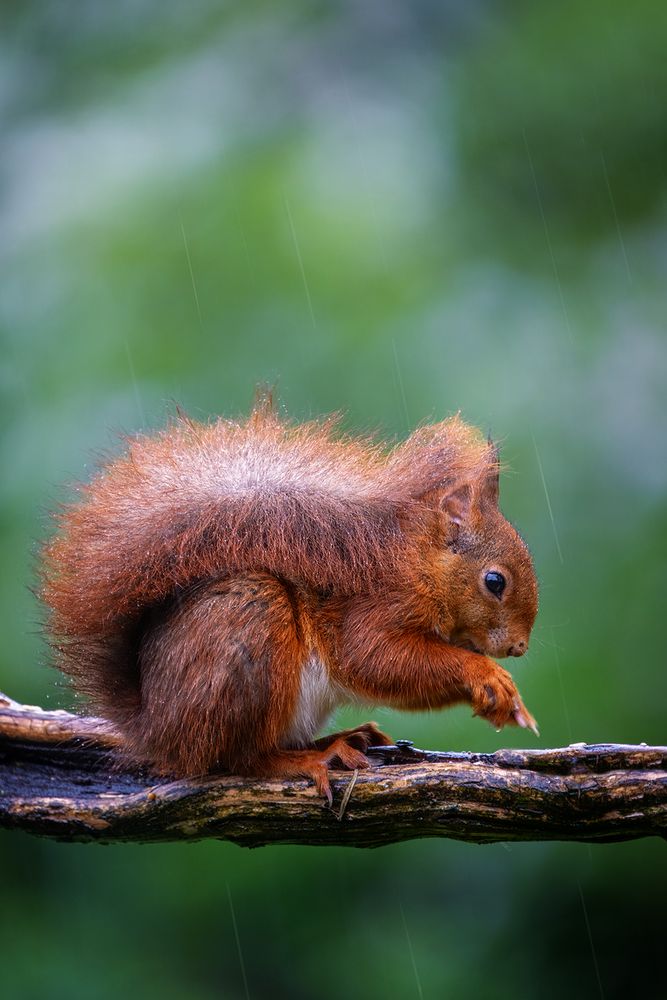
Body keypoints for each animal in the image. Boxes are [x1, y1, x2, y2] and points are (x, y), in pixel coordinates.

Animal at [41, 394, 540, 800]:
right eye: (495, 582)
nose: (519, 648)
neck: (421, 566)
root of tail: (154, 727)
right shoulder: (376, 605)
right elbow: (375, 659)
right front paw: (489, 678)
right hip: (252, 629)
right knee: (237, 759)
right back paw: (310, 758)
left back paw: (343, 740)